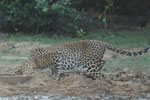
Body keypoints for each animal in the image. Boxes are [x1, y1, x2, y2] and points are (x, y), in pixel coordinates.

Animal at [14, 39, 149, 80]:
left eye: (17, 72)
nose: (19, 76)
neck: (34, 61)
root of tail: (102, 42)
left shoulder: (56, 55)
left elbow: (57, 69)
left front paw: (54, 79)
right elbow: (54, 69)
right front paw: (52, 77)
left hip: (87, 62)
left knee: (100, 74)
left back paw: (98, 81)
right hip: (93, 60)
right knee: (103, 62)